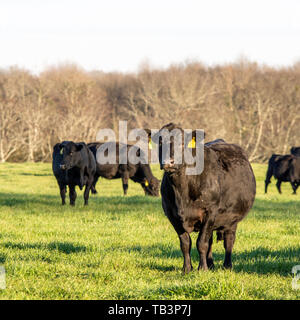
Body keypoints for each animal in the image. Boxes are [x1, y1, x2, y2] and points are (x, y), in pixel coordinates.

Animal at [154, 124, 256, 274]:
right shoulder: (172, 215)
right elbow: (186, 244)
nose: (168, 163)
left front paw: (202, 268)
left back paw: (227, 265)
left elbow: (201, 243)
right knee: (211, 241)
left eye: (182, 143)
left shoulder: (210, 212)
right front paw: (187, 268)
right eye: (160, 142)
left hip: (232, 219)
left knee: (229, 240)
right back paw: (211, 264)